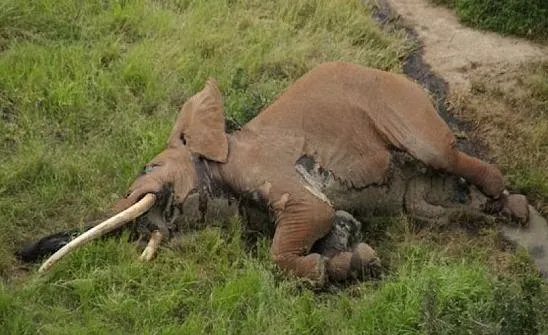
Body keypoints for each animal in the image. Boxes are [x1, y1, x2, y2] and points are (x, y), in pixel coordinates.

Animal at [19, 61, 532, 286]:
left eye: (148, 169)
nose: (25, 255)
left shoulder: (262, 167)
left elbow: (309, 217)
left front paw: (329, 270)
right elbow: (335, 223)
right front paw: (355, 259)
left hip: (402, 106)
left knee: (442, 154)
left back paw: (515, 209)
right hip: (415, 191)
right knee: (424, 206)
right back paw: (488, 213)